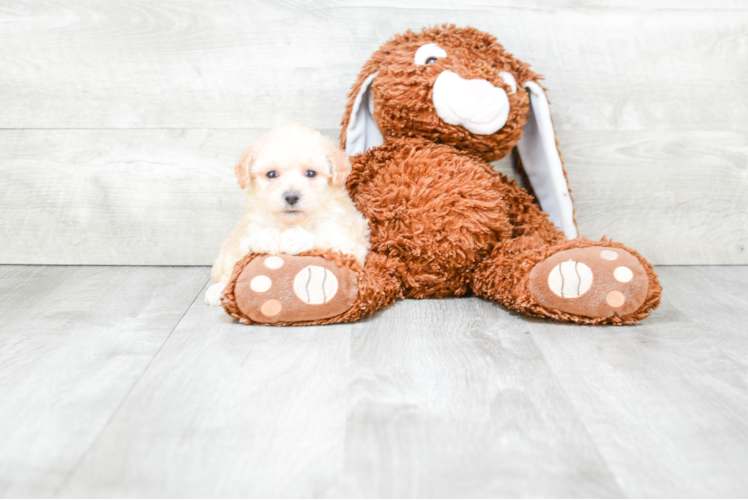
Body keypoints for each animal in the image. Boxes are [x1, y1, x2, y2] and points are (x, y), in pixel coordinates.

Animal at [206, 123, 370, 306]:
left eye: (311, 173)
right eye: (271, 174)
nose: (291, 197)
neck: (291, 222)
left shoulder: (350, 244)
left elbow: (326, 240)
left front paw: (295, 238)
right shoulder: (247, 228)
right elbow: (244, 246)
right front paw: (266, 237)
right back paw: (218, 289)